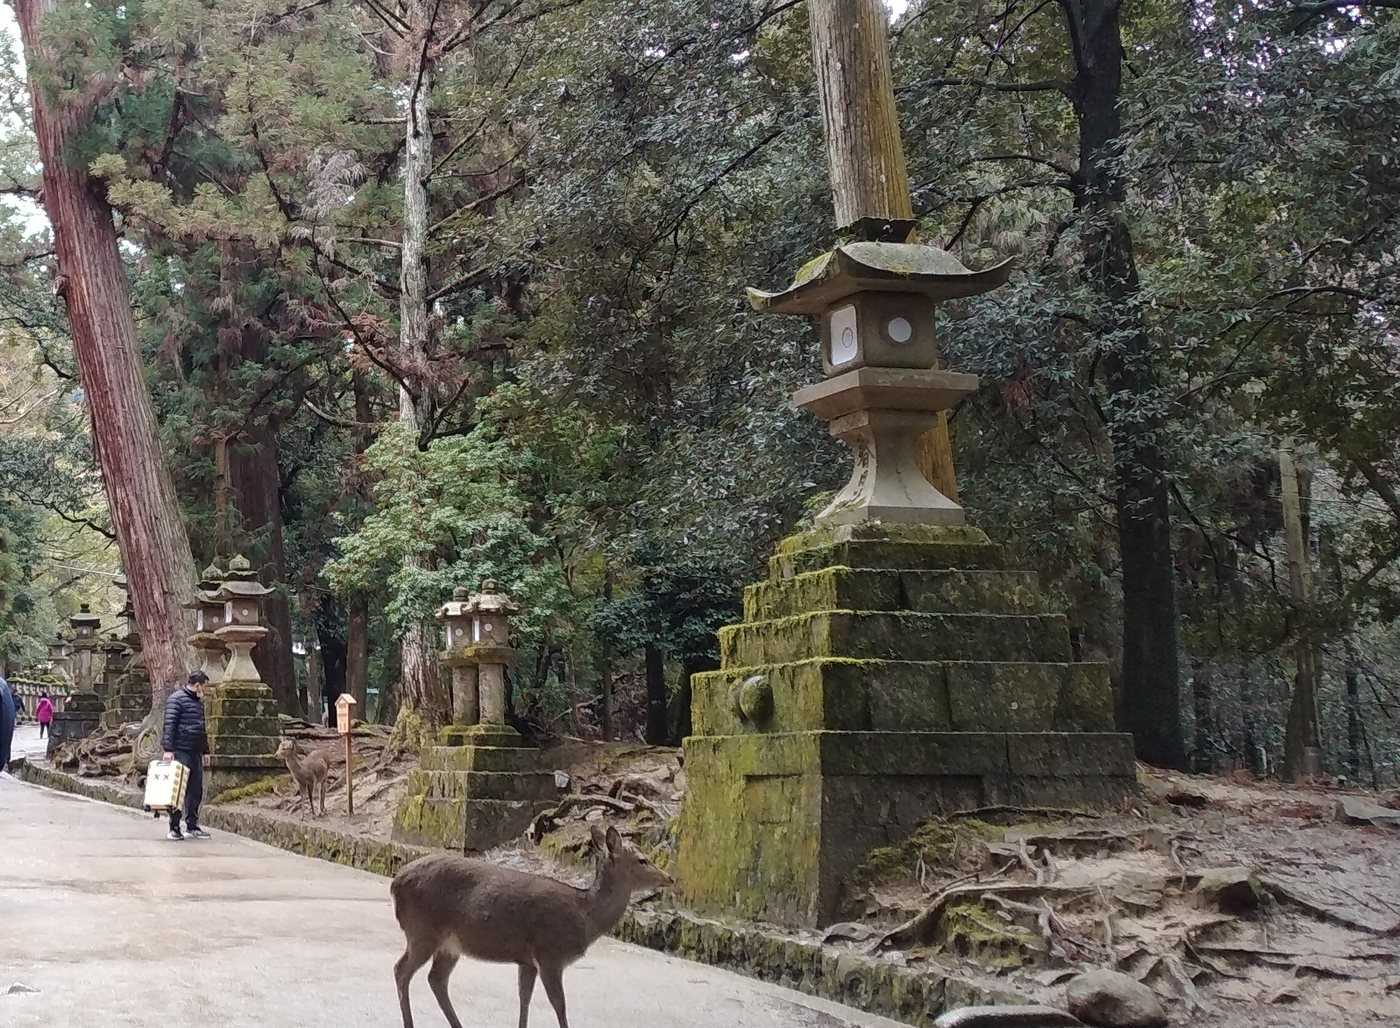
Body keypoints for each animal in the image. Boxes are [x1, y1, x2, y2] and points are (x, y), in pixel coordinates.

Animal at [390, 824, 673, 1028]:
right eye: (642, 860)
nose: (669, 878)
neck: (585, 918)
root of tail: (395, 883)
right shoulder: (549, 953)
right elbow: (559, 1004)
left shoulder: (527, 960)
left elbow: (524, 998)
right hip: (422, 930)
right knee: (401, 970)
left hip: (449, 944)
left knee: (436, 979)